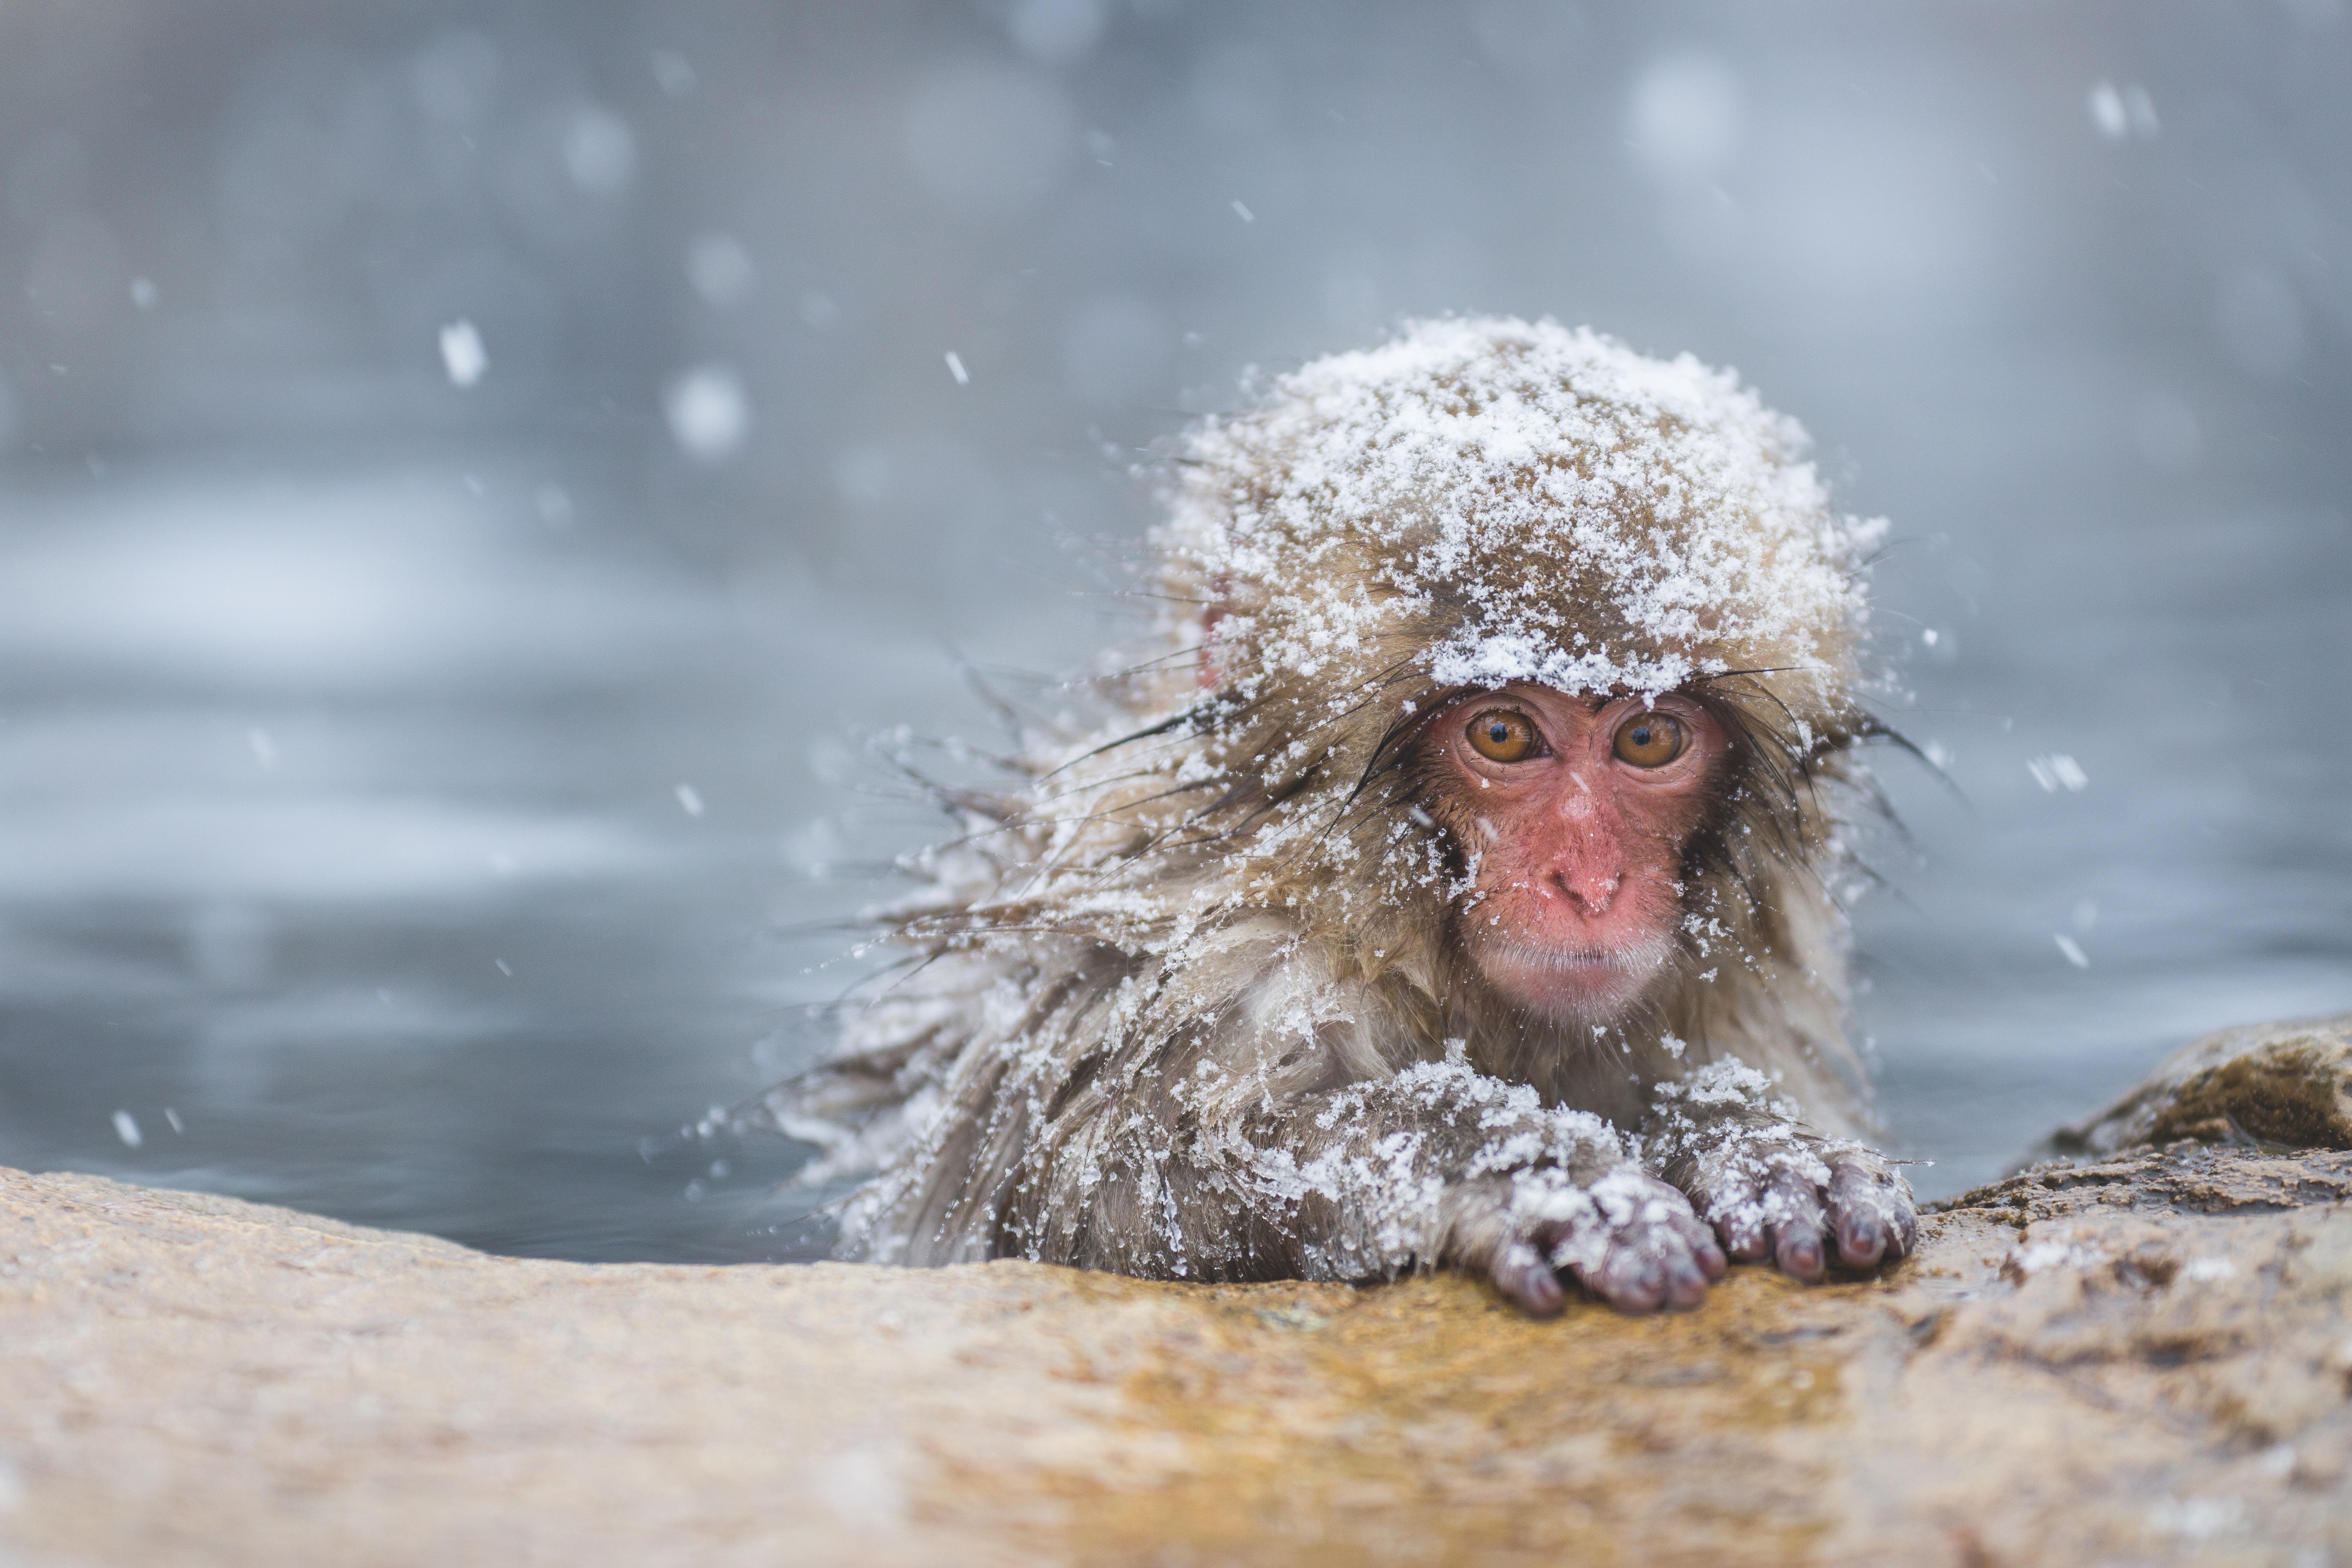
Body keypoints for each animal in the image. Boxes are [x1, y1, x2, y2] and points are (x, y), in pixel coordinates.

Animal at [781, 315, 1919, 1316]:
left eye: (1647, 738)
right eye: (1502, 733)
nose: (1590, 883)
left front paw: (1755, 1142)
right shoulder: (1168, 970)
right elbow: (1109, 1200)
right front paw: (1519, 1163)